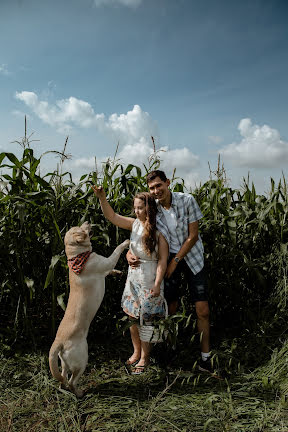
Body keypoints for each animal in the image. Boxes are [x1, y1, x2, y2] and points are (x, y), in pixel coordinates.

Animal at [49, 221, 129, 396]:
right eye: (81, 228)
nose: (87, 221)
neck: (77, 256)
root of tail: (59, 341)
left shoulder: (104, 266)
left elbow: (110, 269)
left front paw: (117, 272)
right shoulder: (105, 262)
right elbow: (115, 252)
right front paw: (125, 242)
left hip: (64, 362)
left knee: (63, 377)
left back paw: (64, 388)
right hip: (82, 359)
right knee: (72, 381)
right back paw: (80, 393)